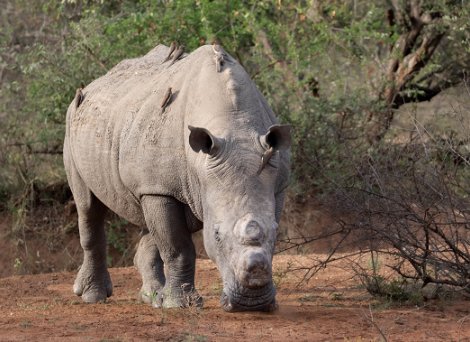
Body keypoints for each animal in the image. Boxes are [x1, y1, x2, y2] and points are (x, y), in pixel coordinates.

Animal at [62, 43, 290, 312]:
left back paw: (152, 298)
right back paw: (93, 296)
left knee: (147, 222)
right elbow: (178, 247)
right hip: (73, 124)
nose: (251, 303)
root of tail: (94, 84)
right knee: (88, 207)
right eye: (216, 235)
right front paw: (179, 305)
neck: (234, 127)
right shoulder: (159, 188)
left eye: (277, 232)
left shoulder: (277, 185)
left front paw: (168, 302)